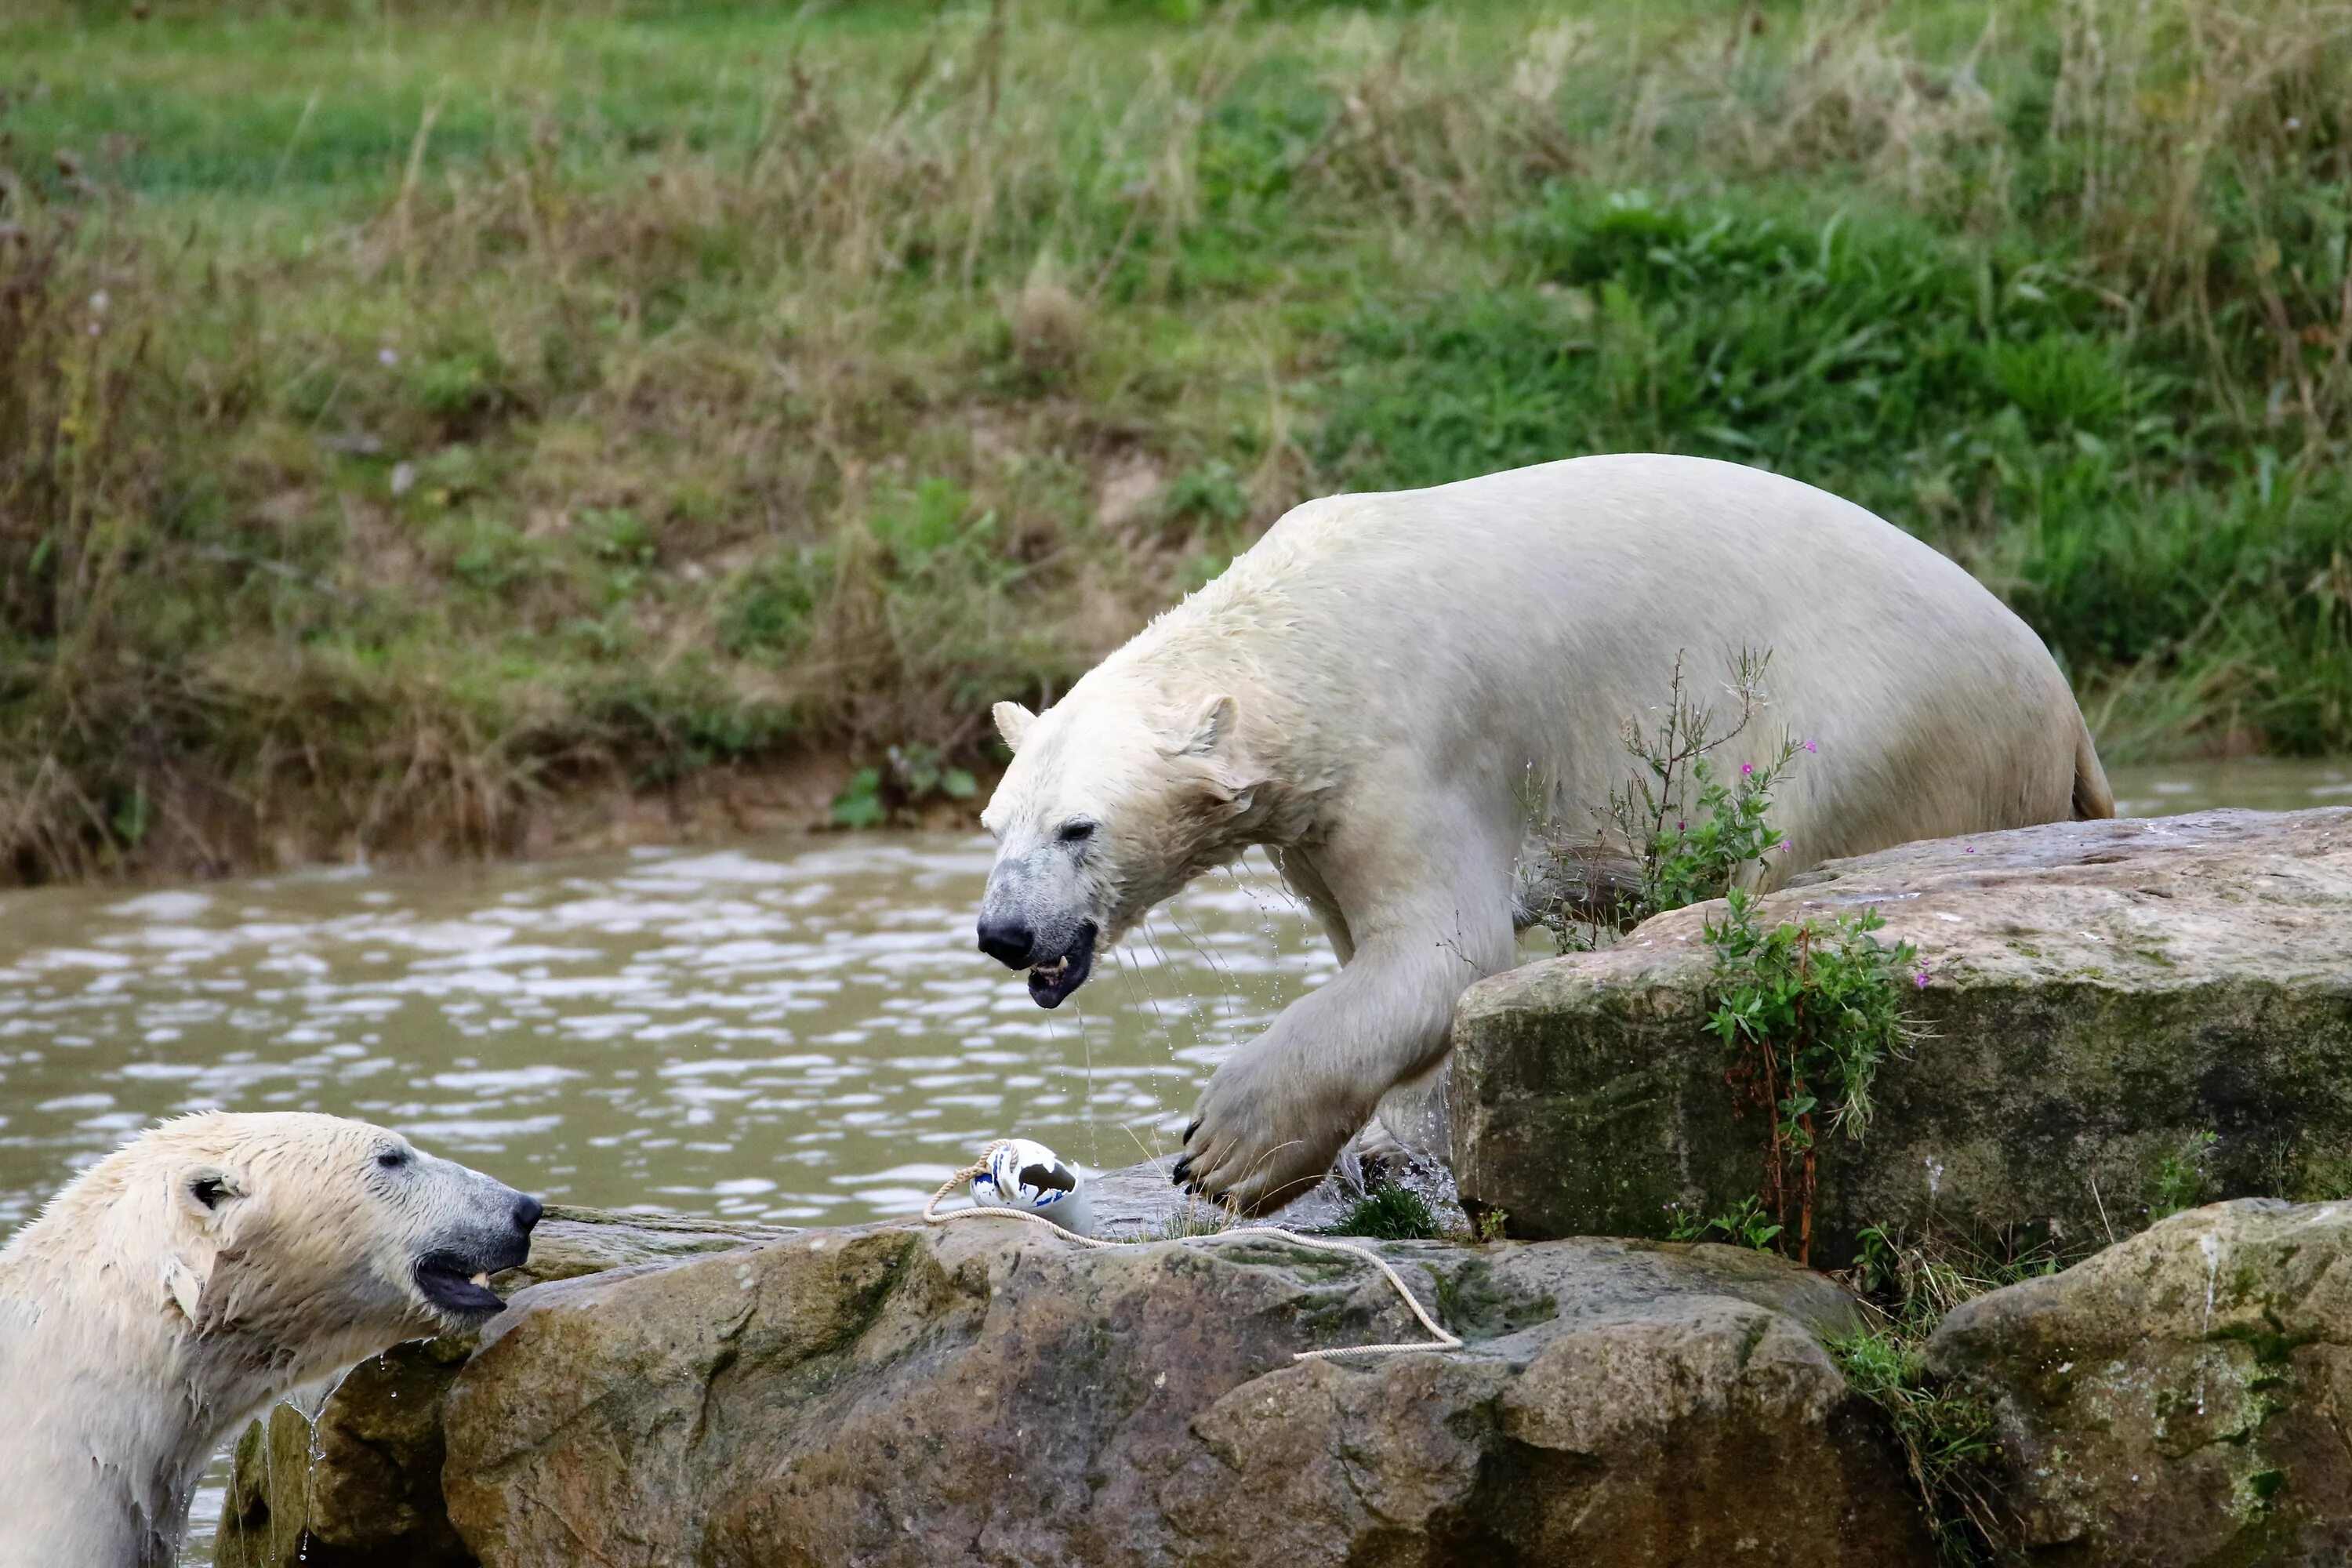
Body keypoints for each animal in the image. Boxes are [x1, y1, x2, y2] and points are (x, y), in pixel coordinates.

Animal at [974, 453, 2117, 1213]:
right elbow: (1376, 955)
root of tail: (2067, 711)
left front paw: (1223, 1149)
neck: (1303, 640)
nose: (1004, 932)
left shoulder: (1414, 747)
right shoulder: (1317, 809)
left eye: (1078, 827)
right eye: (997, 822)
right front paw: (1393, 1148)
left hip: (1881, 727)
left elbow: (1444, 953)